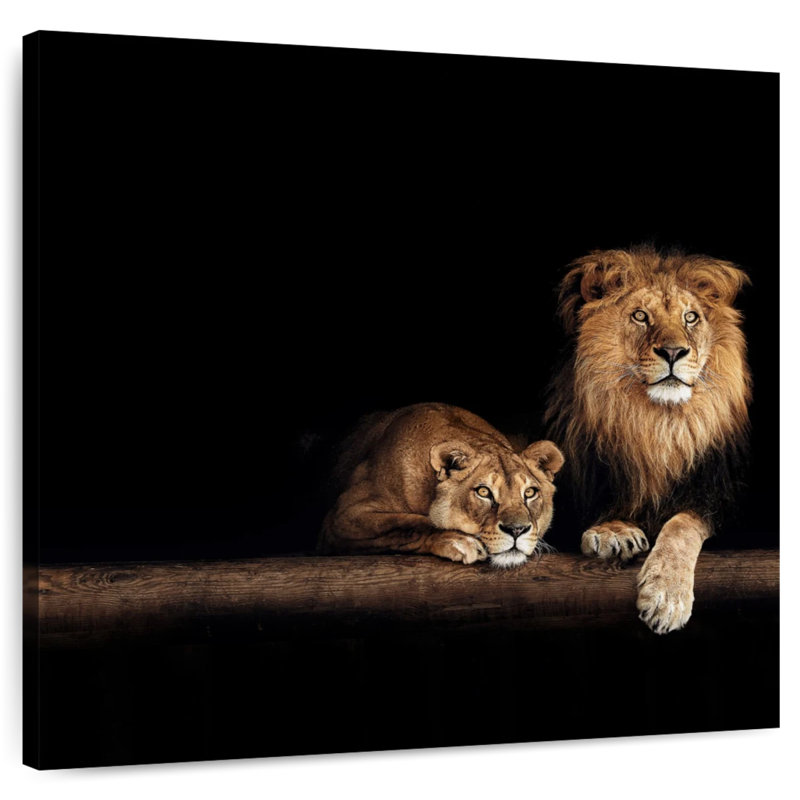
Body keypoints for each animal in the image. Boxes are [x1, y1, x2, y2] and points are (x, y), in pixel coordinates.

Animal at [319, 403, 564, 568]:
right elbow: (408, 524)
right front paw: (459, 540)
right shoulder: (343, 515)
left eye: (530, 492)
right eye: (483, 492)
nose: (517, 530)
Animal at [545, 245, 751, 633]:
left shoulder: (719, 495)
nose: (673, 352)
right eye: (640, 316)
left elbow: (682, 524)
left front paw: (666, 597)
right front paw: (613, 531)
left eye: (690, 317)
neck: (657, 425)